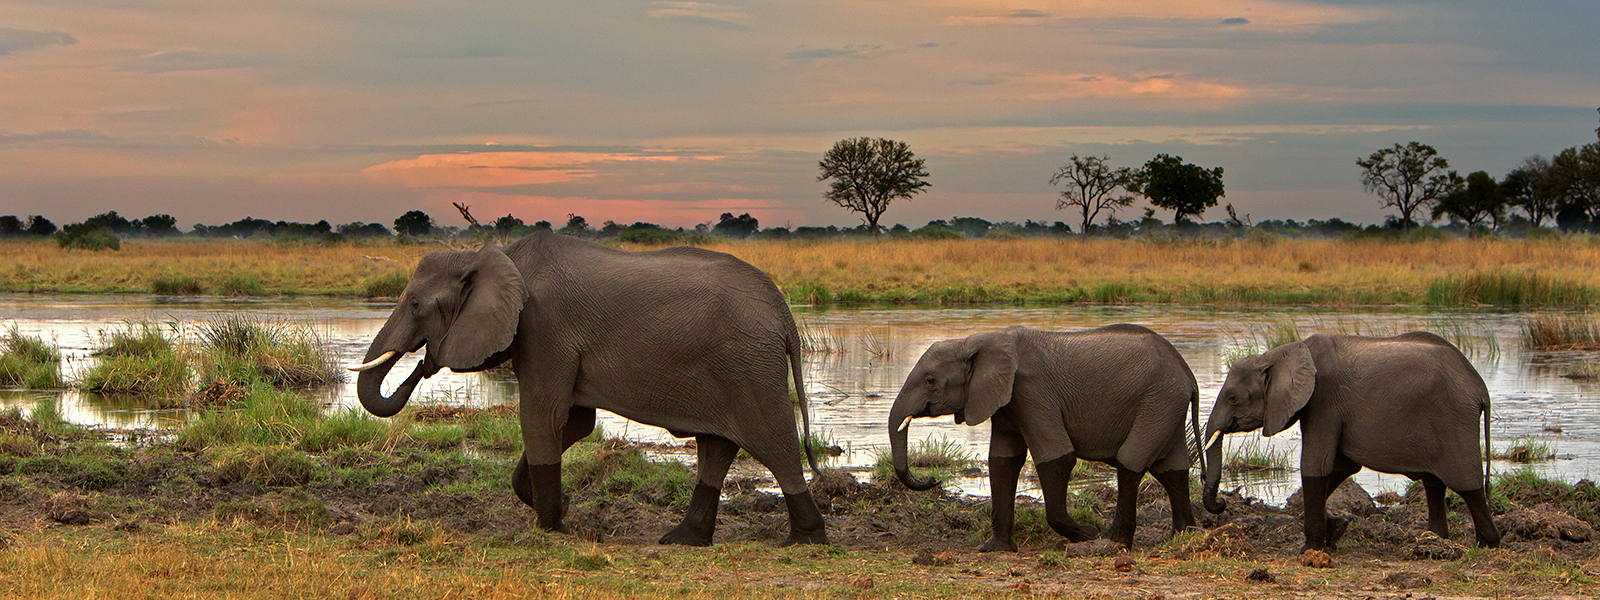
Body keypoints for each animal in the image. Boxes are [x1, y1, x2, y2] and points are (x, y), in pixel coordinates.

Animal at [349, 231, 827, 547]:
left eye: (415, 305)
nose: (423, 364)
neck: (493, 256)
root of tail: (784, 313)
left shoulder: (544, 327)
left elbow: (542, 415)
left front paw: (551, 528)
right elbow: (574, 422)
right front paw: (556, 508)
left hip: (748, 362)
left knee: (773, 439)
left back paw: (806, 539)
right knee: (717, 445)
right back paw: (681, 539)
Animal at [888, 324, 1202, 551]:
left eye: (930, 381)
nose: (932, 480)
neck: (975, 340)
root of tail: (1189, 375)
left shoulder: (1032, 392)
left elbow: (1058, 456)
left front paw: (1088, 534)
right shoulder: (1006, 401)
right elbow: (1002, 461)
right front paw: (995, 549)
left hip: (1159, 401)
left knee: (1131, 460)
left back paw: (1111, 541)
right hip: (1166, 406)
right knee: (1172, 469)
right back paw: (1183, 535)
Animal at [1201, 332, 1501, 552]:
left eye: (1232, 398)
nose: (1223, 504)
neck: (1278, 354)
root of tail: (1480, 388)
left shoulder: (1323, 400)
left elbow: (1316, 465)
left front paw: (1310, 551)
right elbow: (1340, 468)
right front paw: (1334, 530)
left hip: (1454, 418)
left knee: (1467, 484)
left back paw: (1487, 543)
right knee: (1434, 484)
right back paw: (1434, 540)